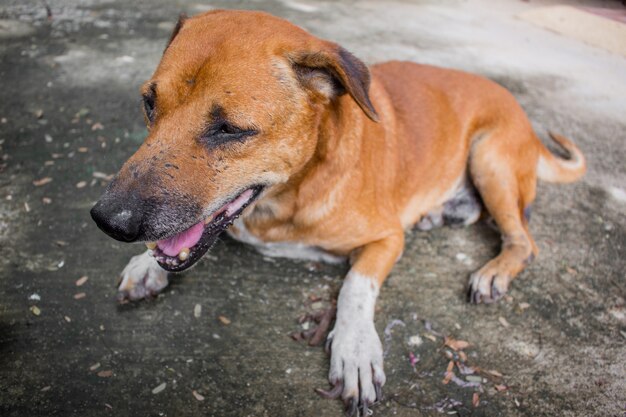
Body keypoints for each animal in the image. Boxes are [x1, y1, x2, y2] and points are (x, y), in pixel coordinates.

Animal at [90, 8, 584, 412]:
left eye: (229, 129)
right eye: (149, 102)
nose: (108, 220)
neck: (290, 194)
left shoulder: (387, 238)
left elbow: (355, 287)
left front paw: (356, 348)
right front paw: (144, 263)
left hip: (491, 159)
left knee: (523, 238)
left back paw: (493, 270)